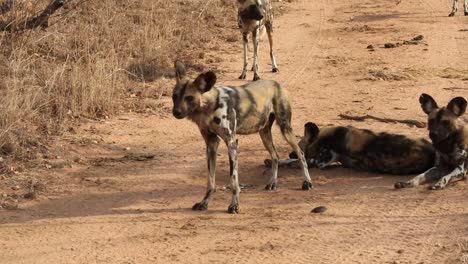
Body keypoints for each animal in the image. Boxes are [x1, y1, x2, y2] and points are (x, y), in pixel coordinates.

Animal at [171, 60, 310, 213]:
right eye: (174, 96)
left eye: (189, 98)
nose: (176, 112)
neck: (210, 107)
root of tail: (277, 83)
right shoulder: (211, 144)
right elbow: (210, 181)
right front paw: (204, 203)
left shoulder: (231, 143)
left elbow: (233, 181)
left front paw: (234, 205)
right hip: (264, 133)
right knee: (275, 156)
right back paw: (272, 183)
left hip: (286, 129)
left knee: (300, 153)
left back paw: (307, 182)